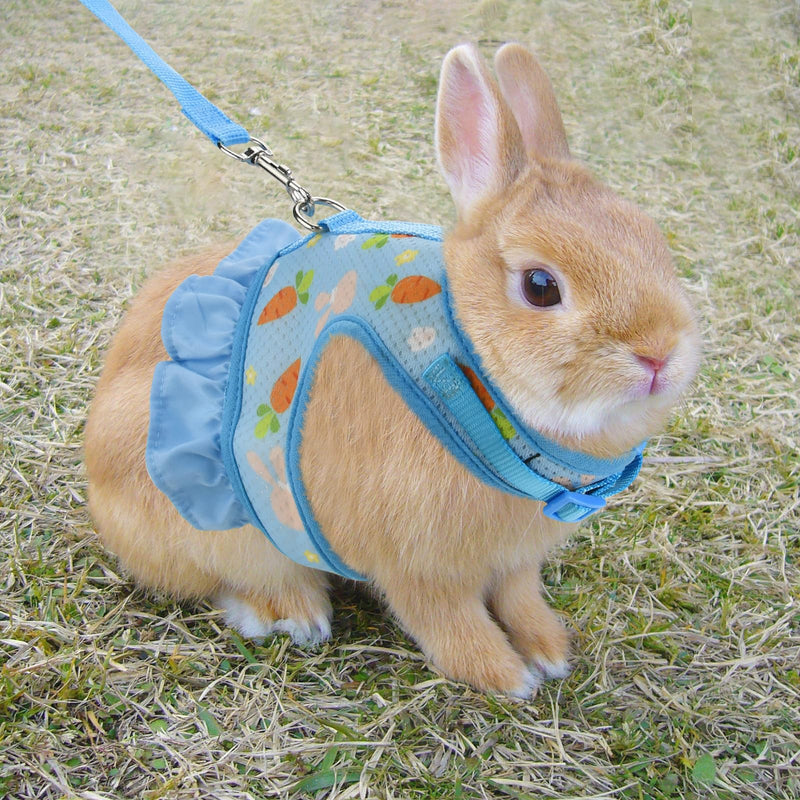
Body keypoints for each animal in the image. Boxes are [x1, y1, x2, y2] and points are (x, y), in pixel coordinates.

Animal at [84, 42, 700, 696]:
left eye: (653, 239)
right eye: (540, 286)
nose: (660, 353)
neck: (466, 370)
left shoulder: (514, 561)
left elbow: (519, 597)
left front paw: (547, 650)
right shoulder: (418, 563)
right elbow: (446, 620)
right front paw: (504, 676)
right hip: (217, 521)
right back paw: (296, 615)